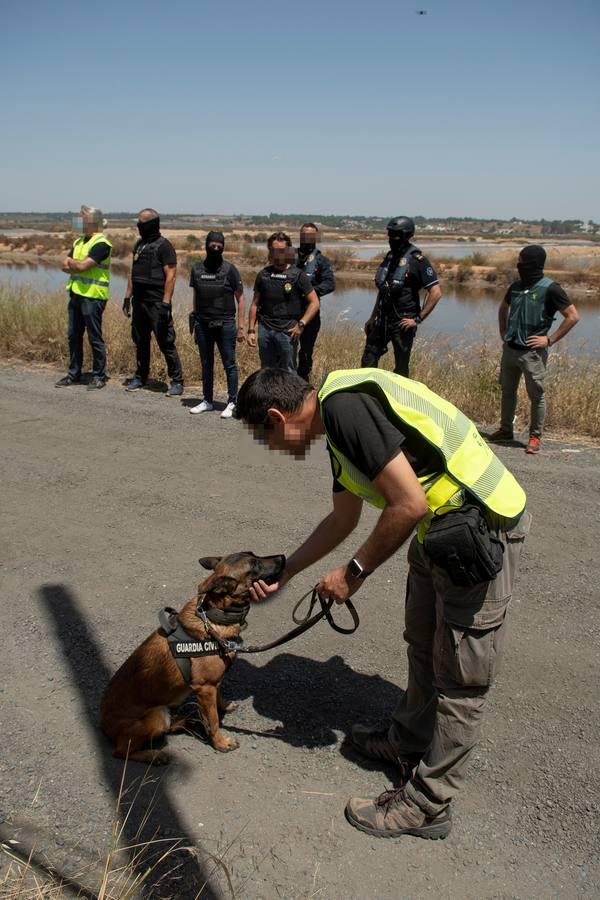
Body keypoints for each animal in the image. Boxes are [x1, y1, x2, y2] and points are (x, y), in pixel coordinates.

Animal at [100, 548, 284, 768]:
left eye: (254, 555)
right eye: (255, 565)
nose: (282, 557)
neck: (213, 618)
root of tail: (103, 725)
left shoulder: (212, 685)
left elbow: (218, 699)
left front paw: (223, 706)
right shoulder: (205, 688)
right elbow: (213, 720)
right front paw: (221, 743)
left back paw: (187, 722)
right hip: (157, 715)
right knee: (121, 751)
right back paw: (154, 755)